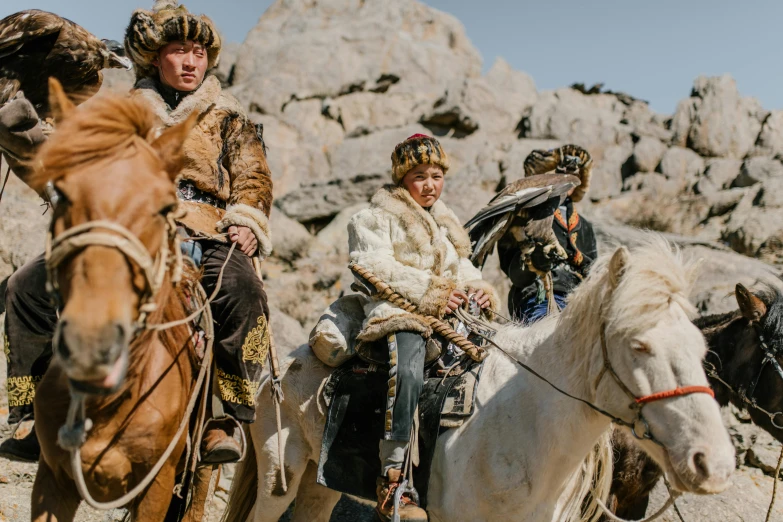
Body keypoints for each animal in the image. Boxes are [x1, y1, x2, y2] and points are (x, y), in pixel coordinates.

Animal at [26, 79, 202, 516]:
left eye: (165, 206)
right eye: (61, 194)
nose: (91, 344)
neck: (108, 405)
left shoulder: (158, 487)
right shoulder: (53, 480)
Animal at [225, 237, 736, 520]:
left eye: (701, 350)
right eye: (638, 345)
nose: (714, 464)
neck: (525, 426)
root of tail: (282, 366)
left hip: (321, 481)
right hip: (280, 475)